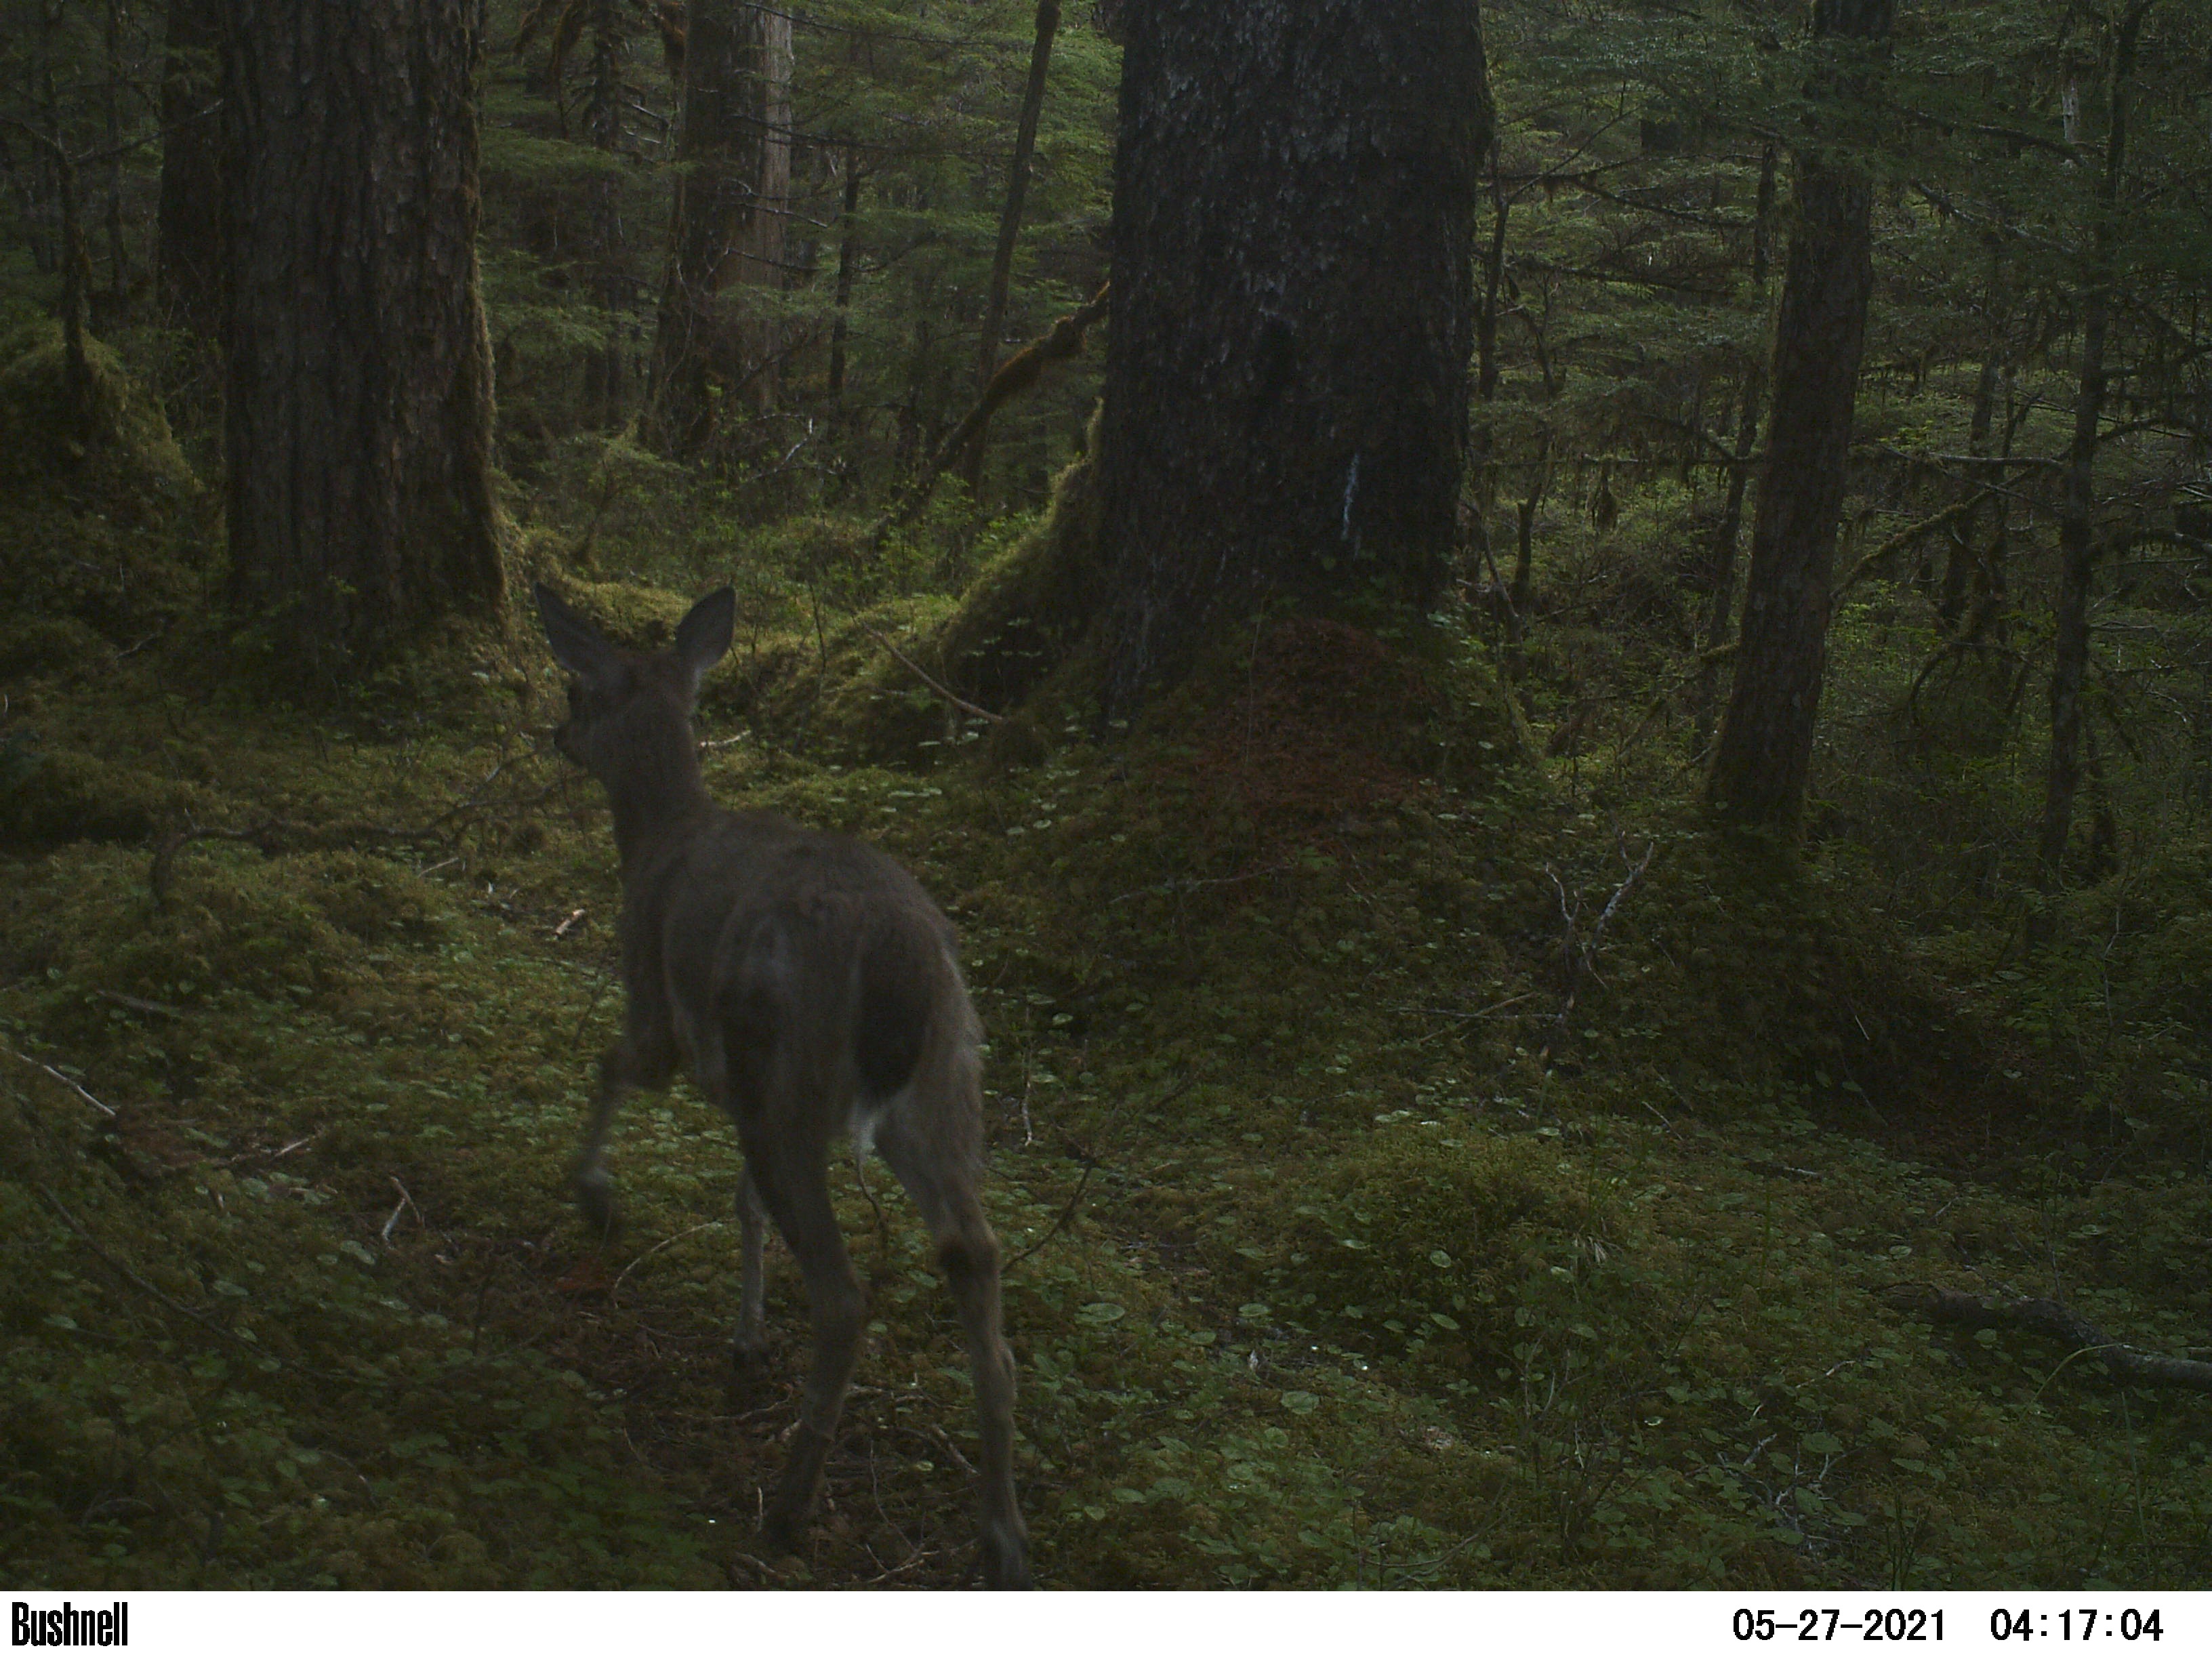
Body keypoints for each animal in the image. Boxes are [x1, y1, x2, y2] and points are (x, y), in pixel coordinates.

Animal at [533, 582, 1032, 1590]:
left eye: (577, 688)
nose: (555, 734)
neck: (657, 837)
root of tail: (900, 957)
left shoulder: (660, 1009)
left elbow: (612, 1066)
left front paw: (596, 1195)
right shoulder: (737, 1080)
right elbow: (742, 1202)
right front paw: (747, 1332)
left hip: (792, 1071)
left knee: (845, 1297)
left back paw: (791, 1506)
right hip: (945, 1079)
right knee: (977, 1262)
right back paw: (1002, 1533)